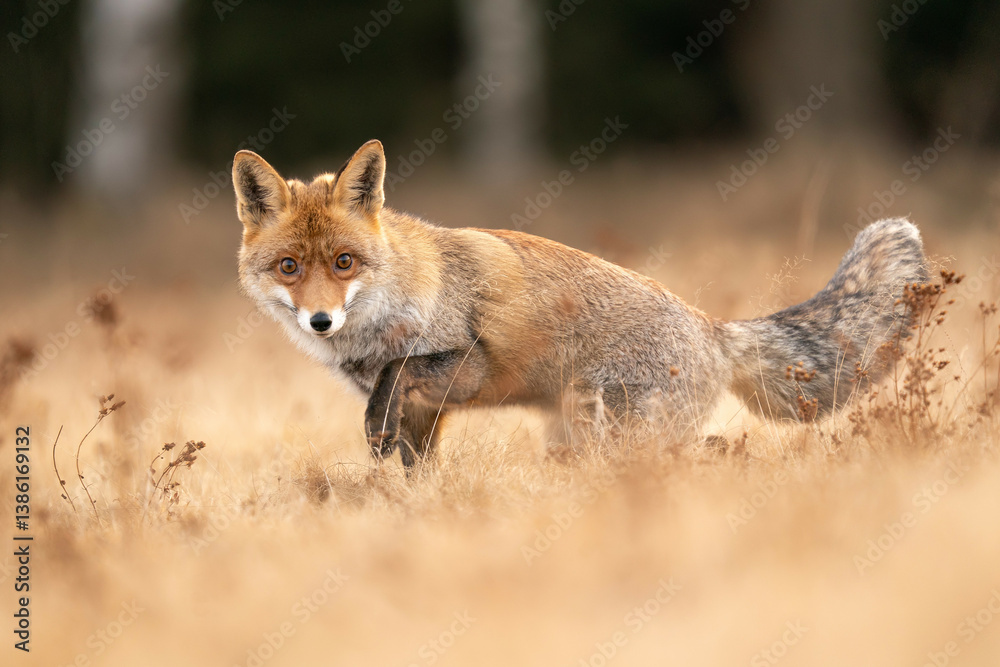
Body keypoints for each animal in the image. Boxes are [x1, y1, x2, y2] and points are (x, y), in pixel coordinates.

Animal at [232, 139, 927, 468]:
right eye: (290, 268)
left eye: (344, 263)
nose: (321, 320)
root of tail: (712, 326)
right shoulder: (427, 415)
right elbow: (412, 470)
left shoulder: (465, 365)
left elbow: (396, 379)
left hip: (612, 428)